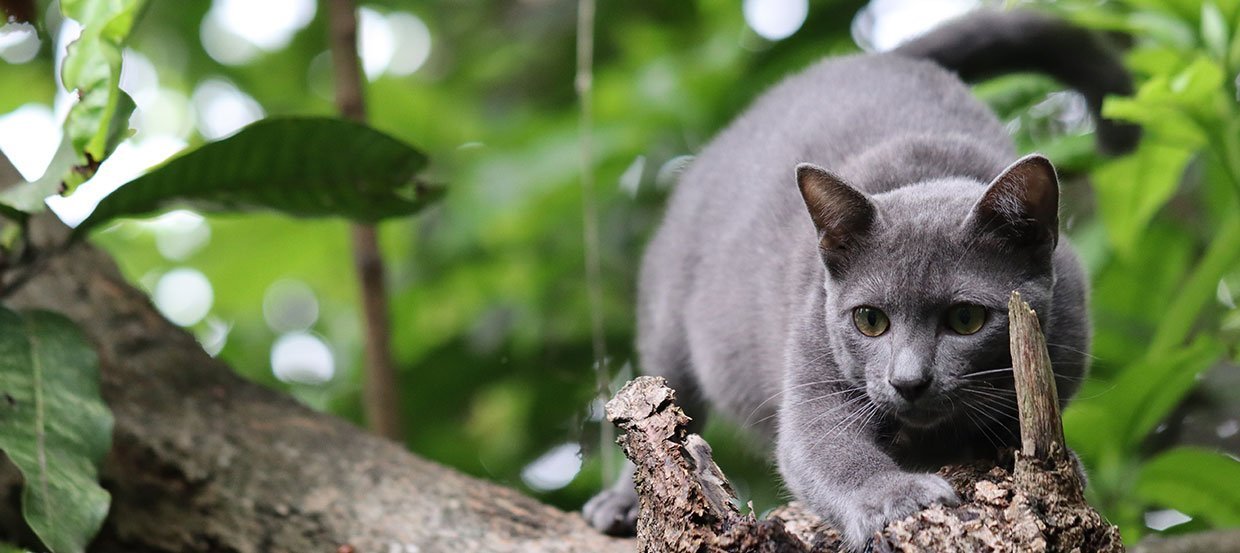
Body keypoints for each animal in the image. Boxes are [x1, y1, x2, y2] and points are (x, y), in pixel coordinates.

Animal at [585, 7, 1135, 548]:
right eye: (869, 320)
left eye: (966, 318)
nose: (908, 380)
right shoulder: (812, 359)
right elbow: (828, 450)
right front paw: (902, 497)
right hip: (668, 315)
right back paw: (620, 504)